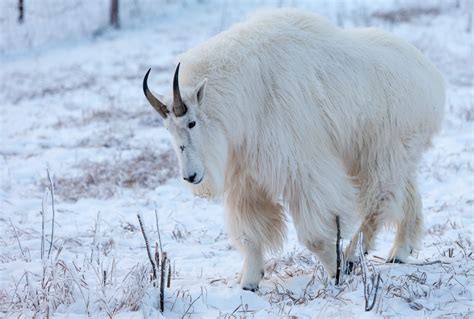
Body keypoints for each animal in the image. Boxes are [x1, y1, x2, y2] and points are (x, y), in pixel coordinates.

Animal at [143, 8, 446, 292]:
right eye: (168, 129)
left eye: (192, 122)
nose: (191, 176)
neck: (247, 92)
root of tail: (430, 76)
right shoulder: (247, 180)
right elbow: (250, 234)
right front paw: (249, 282)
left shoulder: (302, 169)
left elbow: (314, 233)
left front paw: (337, 271)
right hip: (392, 155)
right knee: (406, 196)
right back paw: (400, 251)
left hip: (382, 152)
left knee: (380, 200)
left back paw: (351, 257)